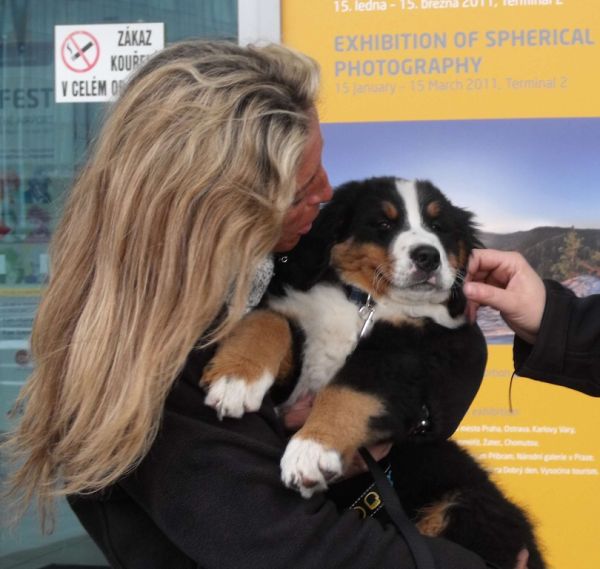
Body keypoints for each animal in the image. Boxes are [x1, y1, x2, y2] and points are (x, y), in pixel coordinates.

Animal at [203, 175, 548, 564]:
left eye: (439, 227)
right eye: (383, 223)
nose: (427, 256)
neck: (366, 303)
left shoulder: (406, 355)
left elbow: (349, 390)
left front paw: (311, 449)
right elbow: (266, 321)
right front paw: (235, 380)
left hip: (463, 505)